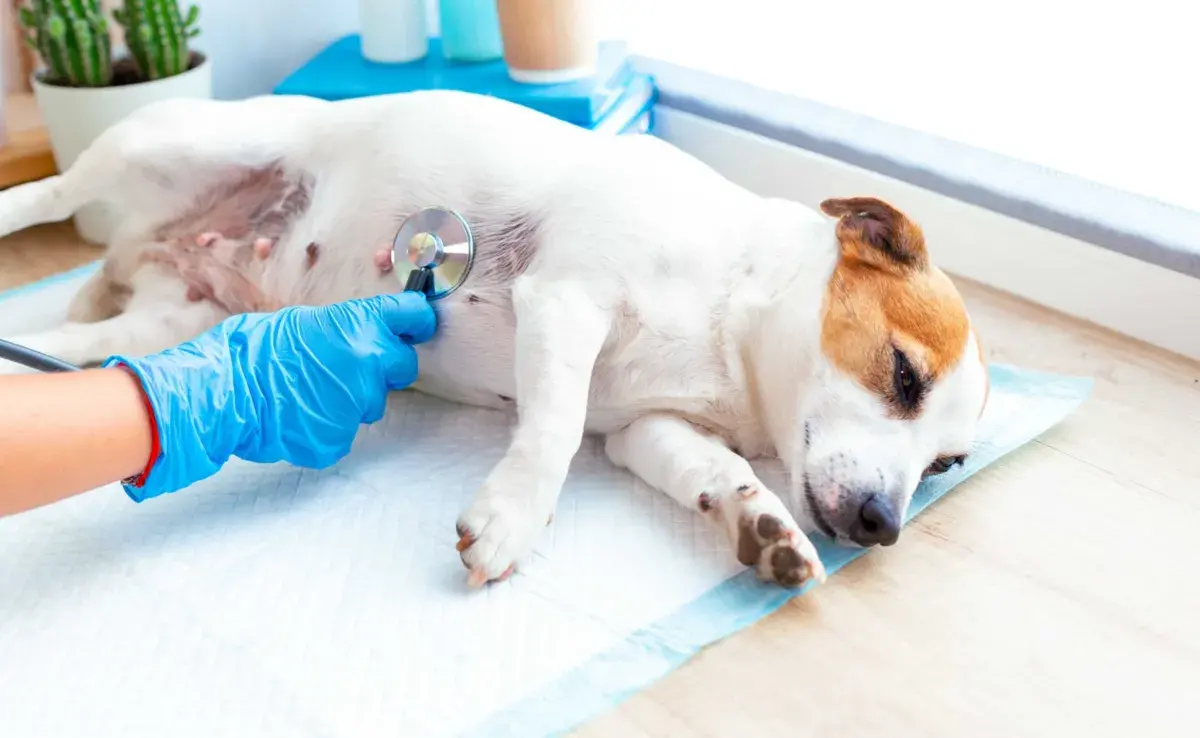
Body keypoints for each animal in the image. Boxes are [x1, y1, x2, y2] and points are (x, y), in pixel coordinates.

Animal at [0, 91, 988, 588]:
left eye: (944, 467)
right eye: (903, 374)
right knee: (51, 196)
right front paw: (513, 519)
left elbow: (714, 473)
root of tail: (144, 241)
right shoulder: (566, 301)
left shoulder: (650, 433)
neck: (731, 327)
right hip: (168, 146)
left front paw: (763, 524)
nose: (883, 526)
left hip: (180, 320)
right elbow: (553, 431)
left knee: (93, 349)